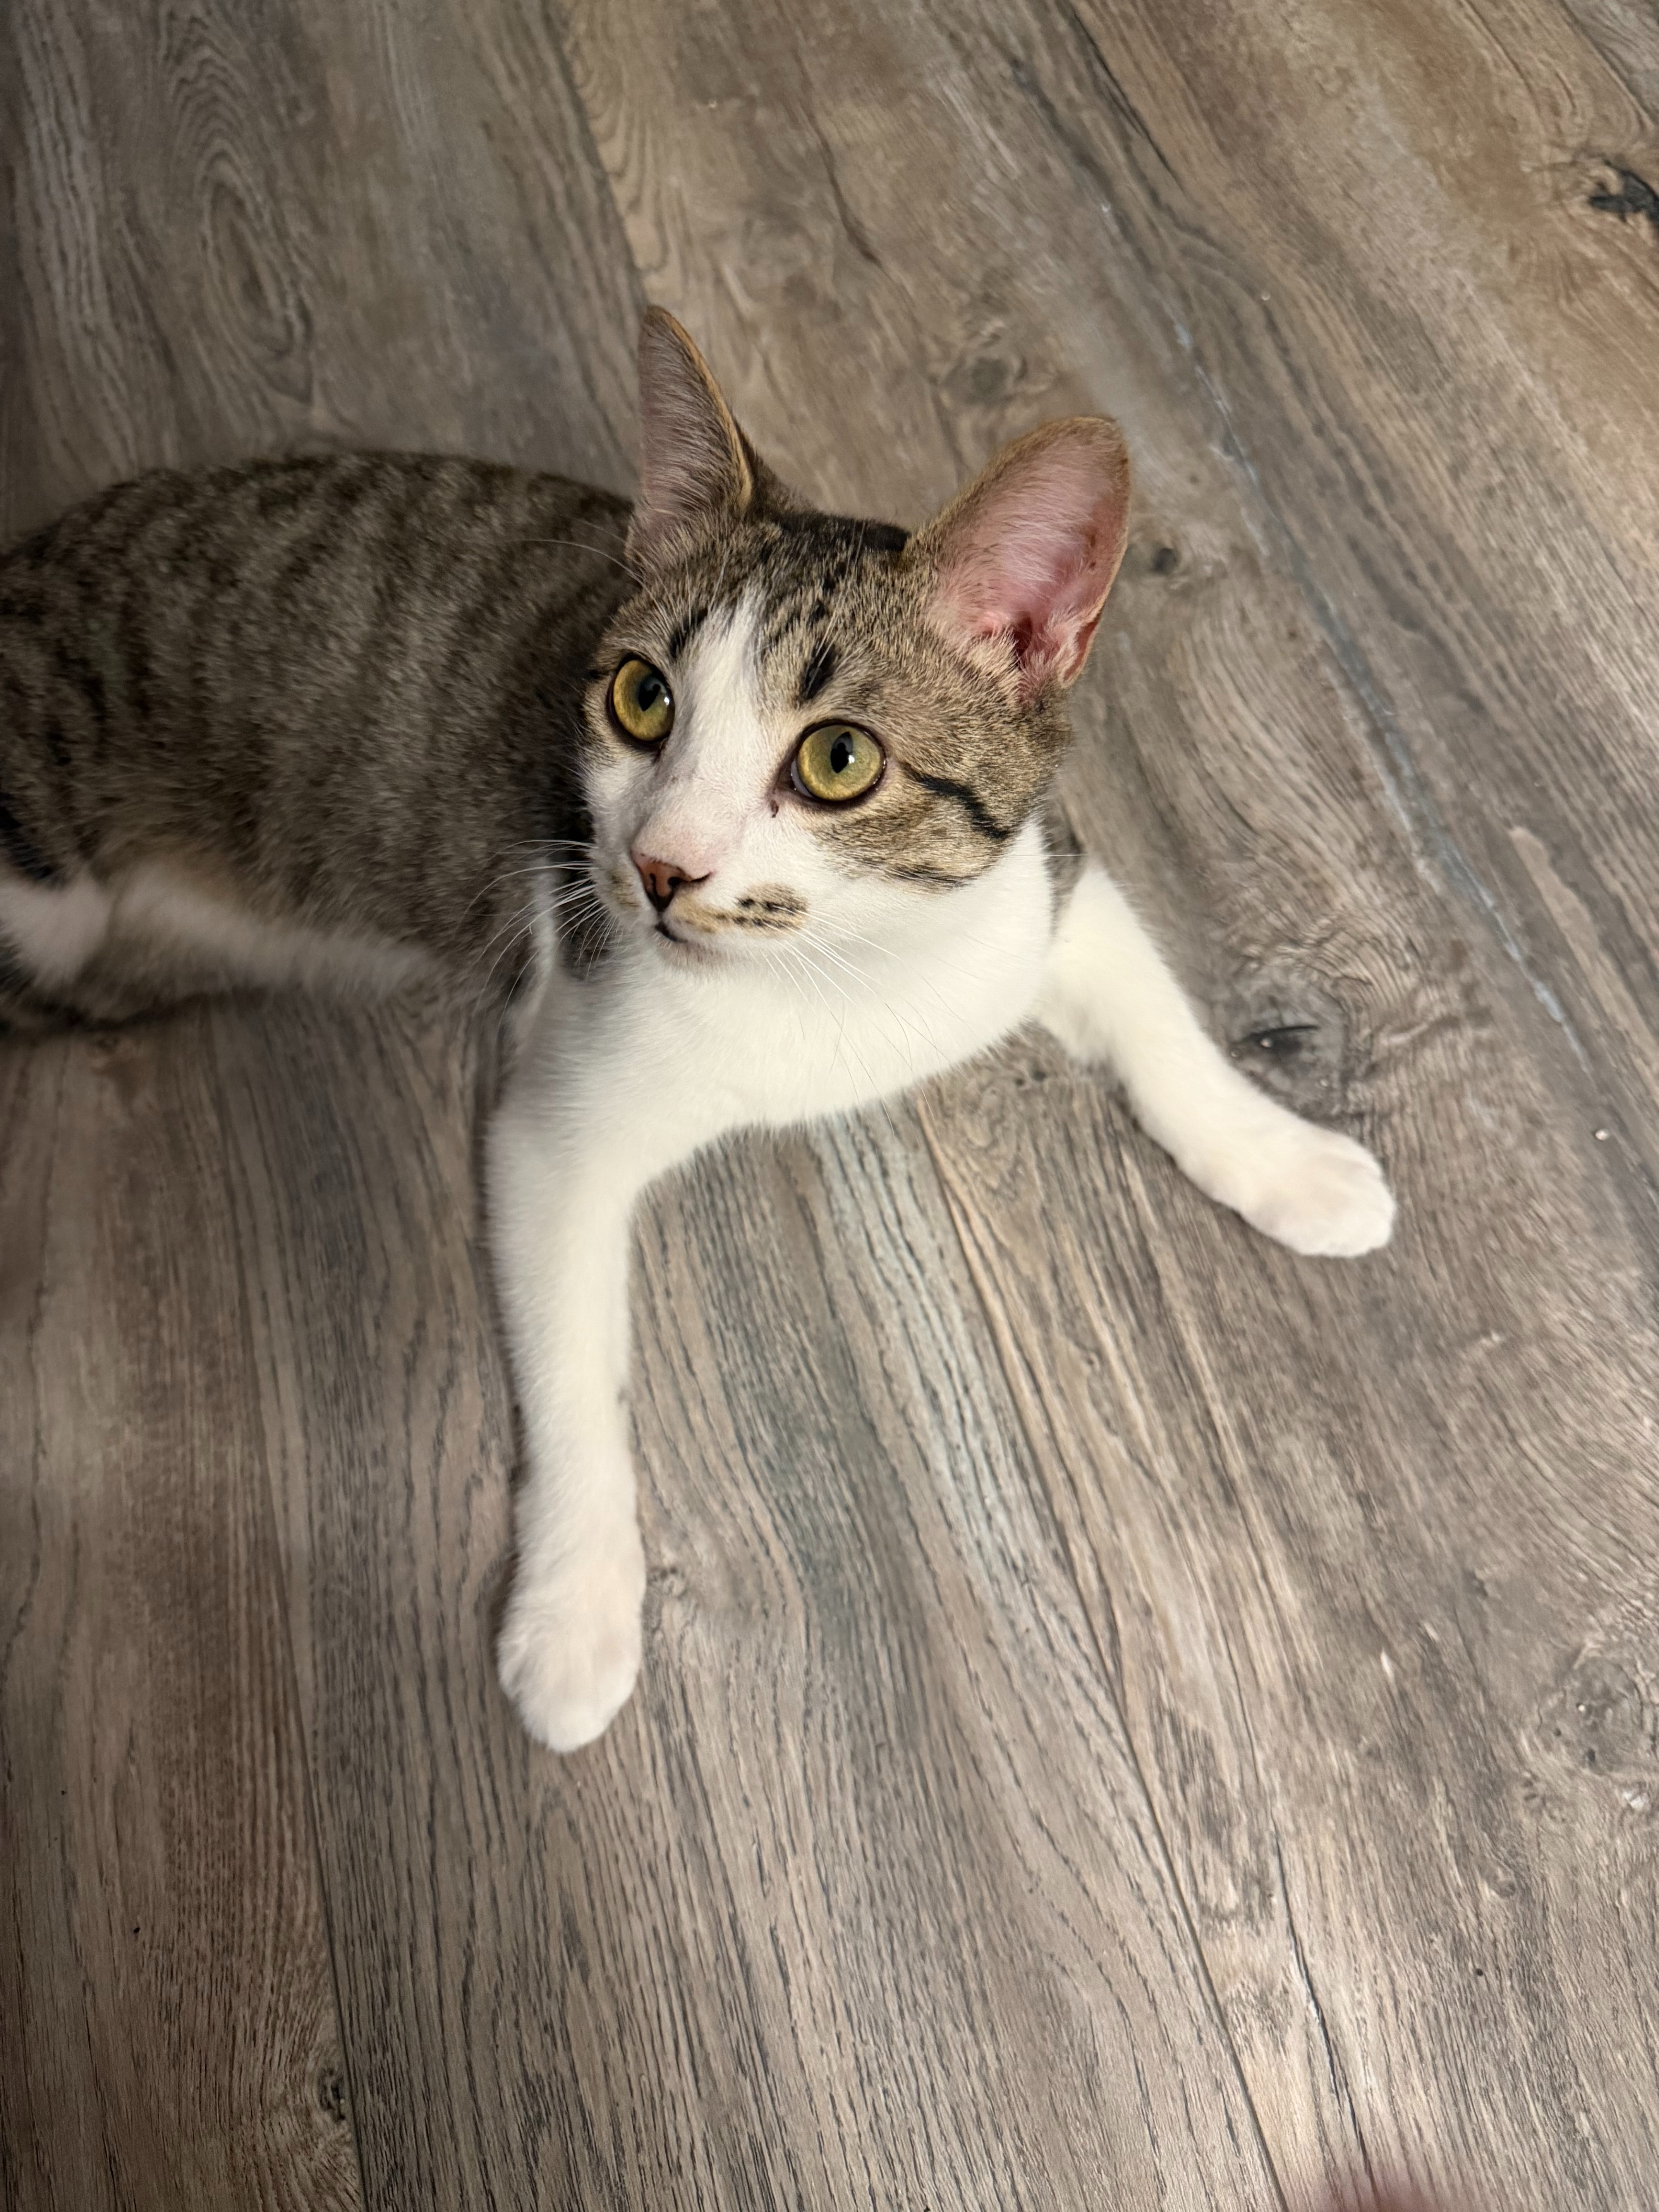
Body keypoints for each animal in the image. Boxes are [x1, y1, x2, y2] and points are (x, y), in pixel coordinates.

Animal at [0, 308, 1394, 1751]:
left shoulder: (1027, 889)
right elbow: (578, 1376)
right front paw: (573, 1611)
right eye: (640, 700)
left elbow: (1149, 1006)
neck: (841, 975)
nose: (658, 867)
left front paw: (1284, 1155)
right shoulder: (558, 1119)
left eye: (838, 760)